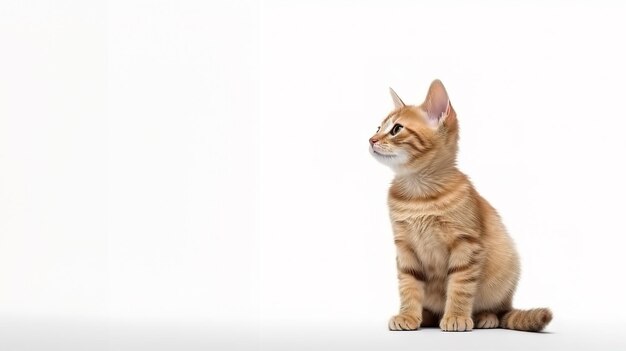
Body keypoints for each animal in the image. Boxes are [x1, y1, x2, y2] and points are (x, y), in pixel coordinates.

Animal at [368, 80, 548, 332]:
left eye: (396, 129)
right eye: (378, 127)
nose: (371, 140)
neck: (418, 194)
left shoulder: (466, 244)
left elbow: (460, 287)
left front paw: (456, 316)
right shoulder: (405, 247)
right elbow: (408, 285)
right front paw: (408, 315)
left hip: (505, 271)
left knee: (498, 310)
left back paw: (485, 317)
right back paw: (426, 316)